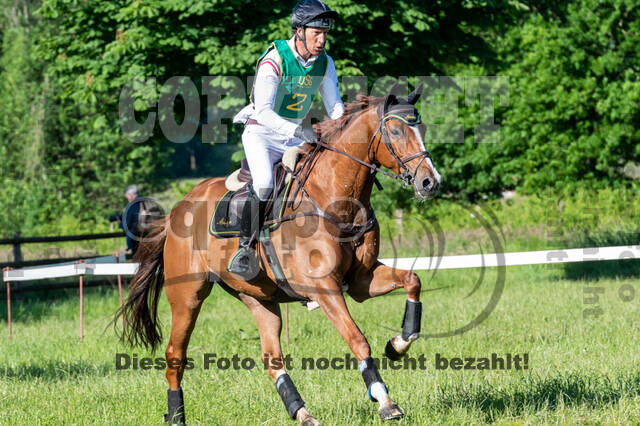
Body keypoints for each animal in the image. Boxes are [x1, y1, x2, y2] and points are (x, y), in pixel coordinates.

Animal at [116, 83, 441, 425]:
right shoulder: (324, 289)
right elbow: (357, 340)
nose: (430, 182)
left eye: (421, 128)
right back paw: (176, 415)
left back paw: (303, 413)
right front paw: (384, 400)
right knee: (174, 355)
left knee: (272, 357)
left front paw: (398, 345)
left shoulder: (361, 280)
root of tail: (177, 209)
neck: (336, 200)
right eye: (395, 130)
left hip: (258, 297)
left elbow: (412, 280)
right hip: (188, 296)